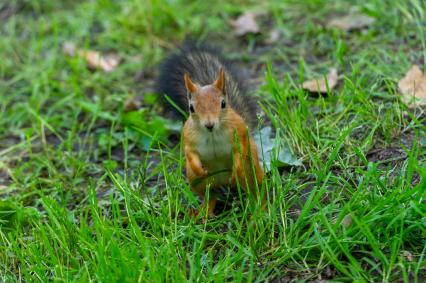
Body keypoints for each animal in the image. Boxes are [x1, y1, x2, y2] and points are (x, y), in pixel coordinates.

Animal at [155, 43, 264, 216]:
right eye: (191, 108)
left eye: (223, 103)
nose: (209, 124)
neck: (212, 134)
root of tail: (223, 182)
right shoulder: (189, 137)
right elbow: (189, 152)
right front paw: (198, 167)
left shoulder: (239, 132)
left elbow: (241, 149)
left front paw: (236, 170)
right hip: (196, 181)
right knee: (211, 195)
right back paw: (203, 211)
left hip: (251, 171)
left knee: (256, 190)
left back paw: (260, 208)